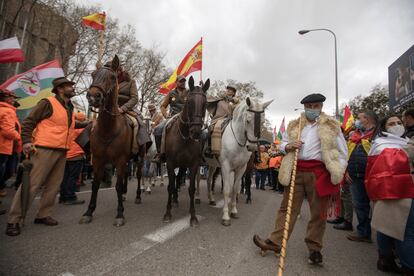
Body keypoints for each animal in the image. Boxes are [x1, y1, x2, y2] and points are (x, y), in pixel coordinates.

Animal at [81, 55, 137, 226]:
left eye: (112, 77)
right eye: (93, 74)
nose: (93, 97)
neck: (108, 128)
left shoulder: (120, 159)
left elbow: (117, 186)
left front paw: (119, 214)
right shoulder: (98, 159)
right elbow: (95, 185)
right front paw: (89, 211)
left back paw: (138, 195)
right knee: (126, 175)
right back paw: (125, 195)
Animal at [163, 76, 210, 226]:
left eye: (205, 103)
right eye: (189, 102)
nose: (195, 132)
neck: (183, 136)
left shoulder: (193, 165)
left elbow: (191, 188)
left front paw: (193, 215)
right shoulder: (170, 164)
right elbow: (170, 186)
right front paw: (168, 213)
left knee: (179, 180)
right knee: (174, 183)